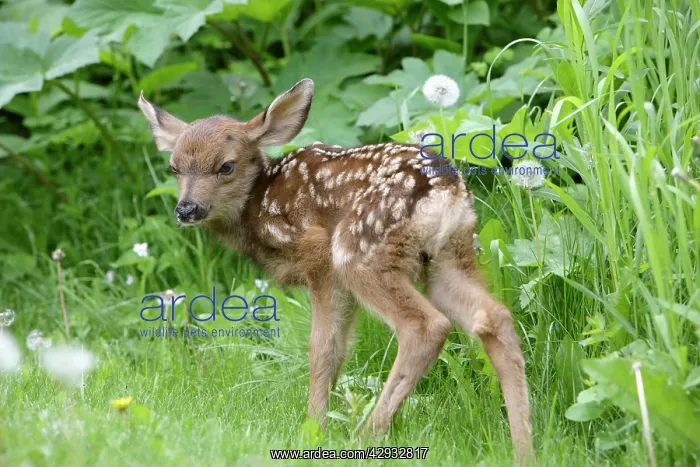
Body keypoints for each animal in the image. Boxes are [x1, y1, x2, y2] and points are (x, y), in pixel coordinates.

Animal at [138, 78, 533, 463]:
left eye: (226, 166)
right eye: (174, 168)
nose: (186, 209)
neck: (258, 207)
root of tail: (445, 192)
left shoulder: (319, 260)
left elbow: (322, 348)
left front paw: (313, 428)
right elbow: (340, 348)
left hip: (359, 251)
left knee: (426, 326)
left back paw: (366, 436)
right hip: (447, 257)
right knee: (493, 316)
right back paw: (522, 448)